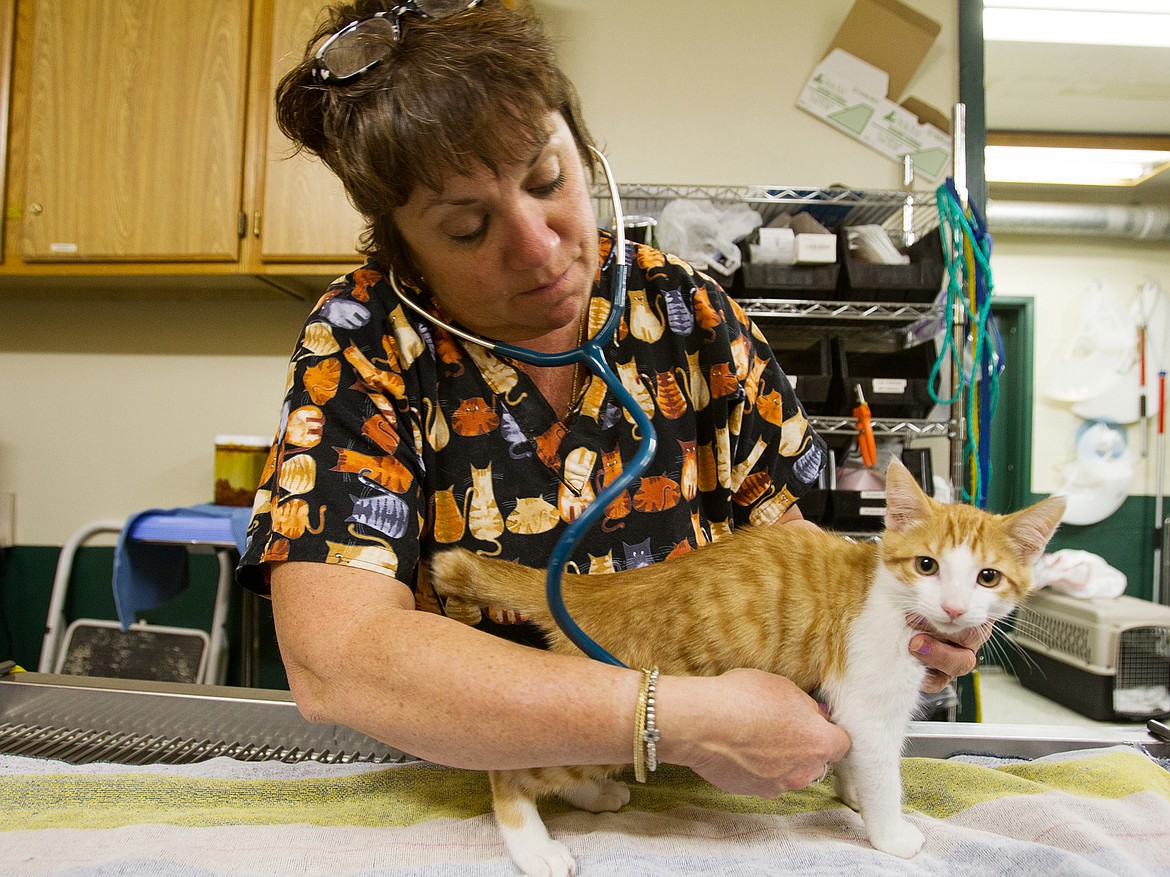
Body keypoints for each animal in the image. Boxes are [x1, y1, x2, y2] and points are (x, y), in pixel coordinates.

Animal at [432, 463, 1071, 874]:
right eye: (927, 565)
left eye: (987, 577)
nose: (956, 608)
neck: (887, 595)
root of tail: (597, 587)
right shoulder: (868, 702)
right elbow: (882, 767)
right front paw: (889, 833)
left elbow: (858, 760)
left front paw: (853, 795)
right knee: (511, 772)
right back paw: (534, 847)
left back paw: (594, 797)